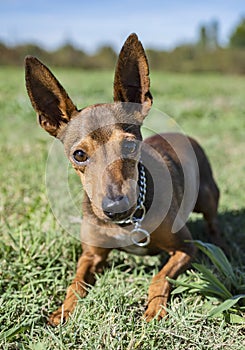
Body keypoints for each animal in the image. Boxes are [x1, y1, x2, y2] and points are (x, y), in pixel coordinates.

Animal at [24, 33, 220, 326]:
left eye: (129, 146)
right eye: (79, 155)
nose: (115, 208)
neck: (127, 224)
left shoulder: (185, 247)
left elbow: (159, 276)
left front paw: (154, 307)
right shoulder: (91, 255)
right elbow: (75, 283)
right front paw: (63, 310)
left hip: (207, 196)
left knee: (212, 220)